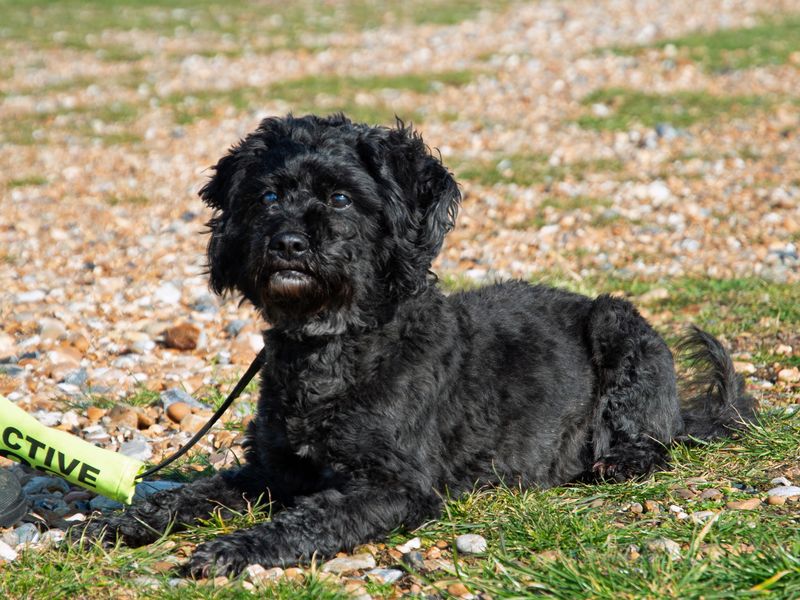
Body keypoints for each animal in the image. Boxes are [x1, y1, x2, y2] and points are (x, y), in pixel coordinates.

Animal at [72, 113, 752, 576]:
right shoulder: (270, 470)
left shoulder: (396, 487)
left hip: (619, 326)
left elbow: (307, 519)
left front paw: (236, 547)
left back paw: (624, 458)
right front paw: (129, 518)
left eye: (341, 198)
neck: (333, 345)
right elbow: (195, 492)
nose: (288, 242)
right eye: (266, 196)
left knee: (656, 441)